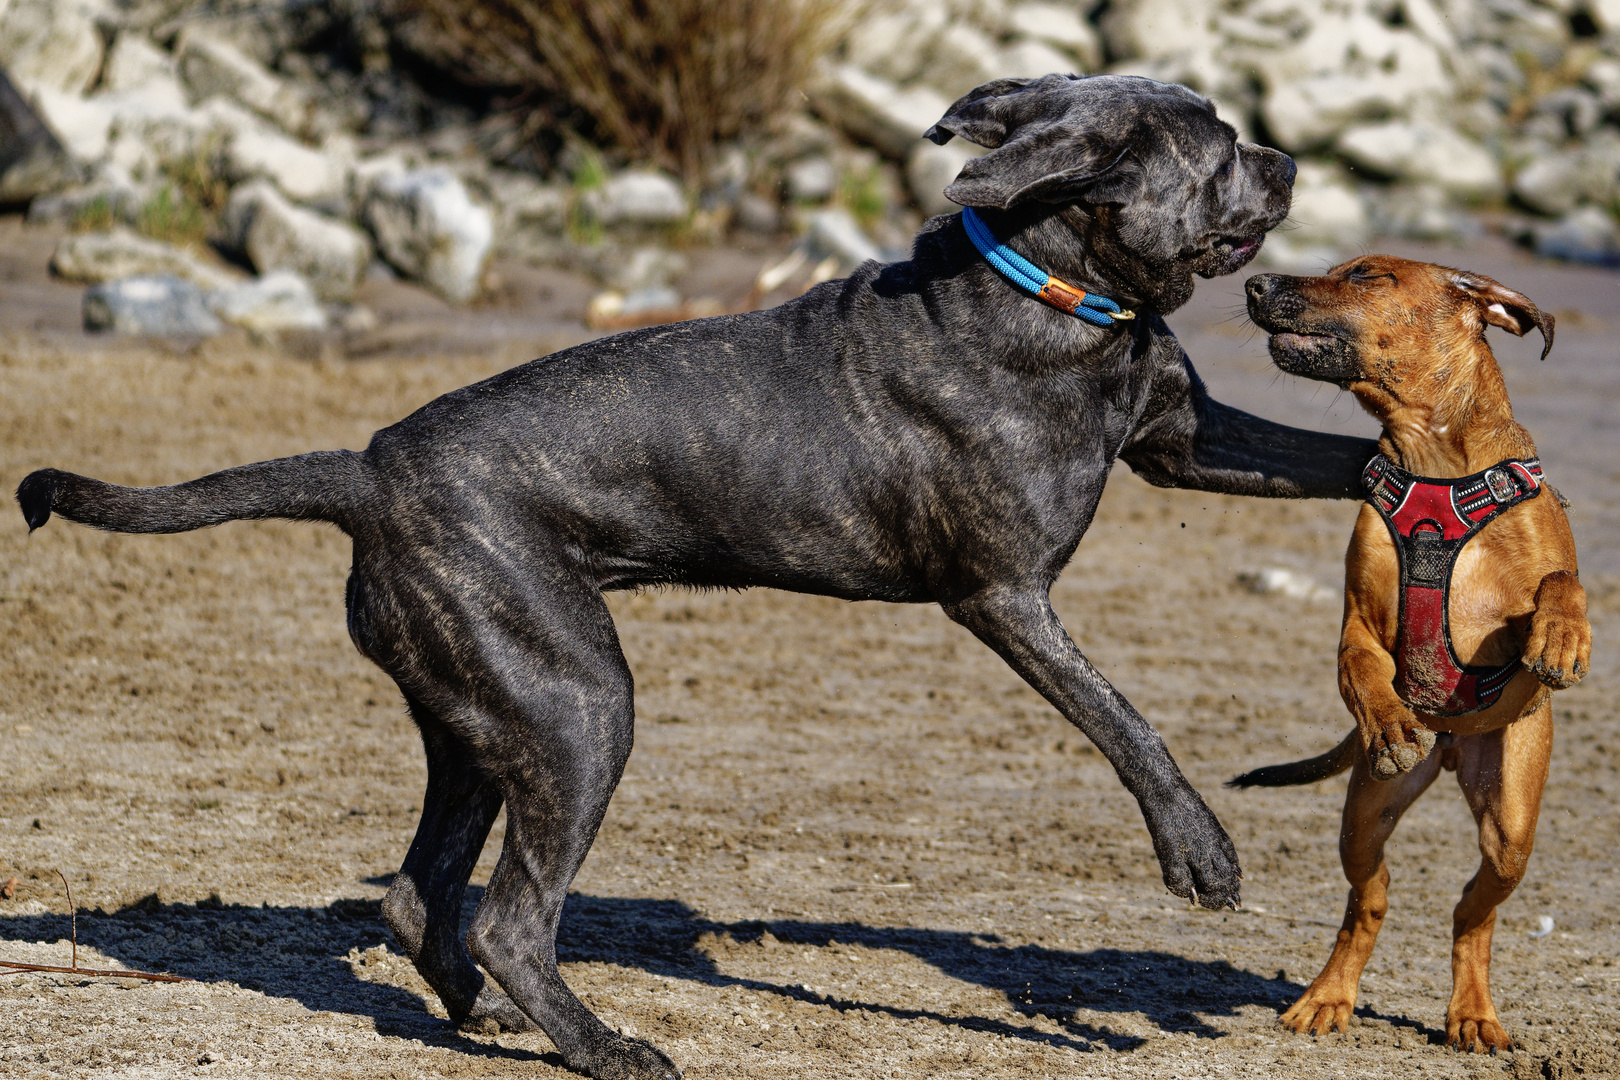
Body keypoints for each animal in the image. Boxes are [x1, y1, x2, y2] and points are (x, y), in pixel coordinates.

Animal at [19, 76, 1373, 1075]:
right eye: (1218, 145)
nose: (1292, 164)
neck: (1056, 288)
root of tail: (367, 473)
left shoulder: (1189, 442)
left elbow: (1344, 460)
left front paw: (1425, 469)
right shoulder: (1003, 594)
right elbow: (1122, 717)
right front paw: (1200, 852)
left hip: (484, 716)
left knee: (419, 896)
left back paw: (487, 1014)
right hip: (577, 707)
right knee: (509, 917)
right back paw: (604, 1048)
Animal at [1224, 255, 1594, 1055]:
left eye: (1368, 276)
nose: (1256, 285)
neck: (1436, 456)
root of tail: (1452, 749)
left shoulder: (1535, 582)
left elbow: (1562, 583)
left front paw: (1562, 638)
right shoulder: (1361, 624)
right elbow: (1363, 667)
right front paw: (1392, 723)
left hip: (1511, 819)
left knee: (1473, 910)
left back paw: (1474, 1012)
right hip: (1366, 816)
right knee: (1371, 899)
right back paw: (1327, 997)